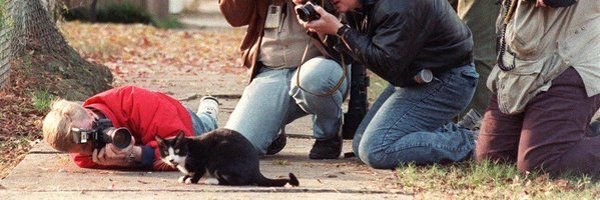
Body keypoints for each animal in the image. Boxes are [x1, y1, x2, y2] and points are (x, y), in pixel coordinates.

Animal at [156, 129, 298, 187]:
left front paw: (191, 179)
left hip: (218, 160)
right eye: (166, 152)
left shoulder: (201, 159)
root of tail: (256, 170)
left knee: (237, 181)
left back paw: (212, 180)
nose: (171, 160)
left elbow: (198, 171)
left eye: (177, 150)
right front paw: (185, 177)